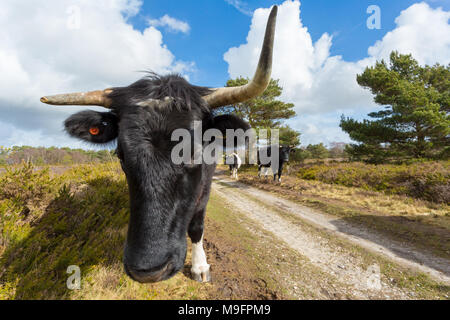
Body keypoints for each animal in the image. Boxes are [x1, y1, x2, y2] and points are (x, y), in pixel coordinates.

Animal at [40, 6, 278, 282]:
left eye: (195, 154)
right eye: (121, 155)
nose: (148, 271)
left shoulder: (206, 186)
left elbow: (196, 226)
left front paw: (200, 266)